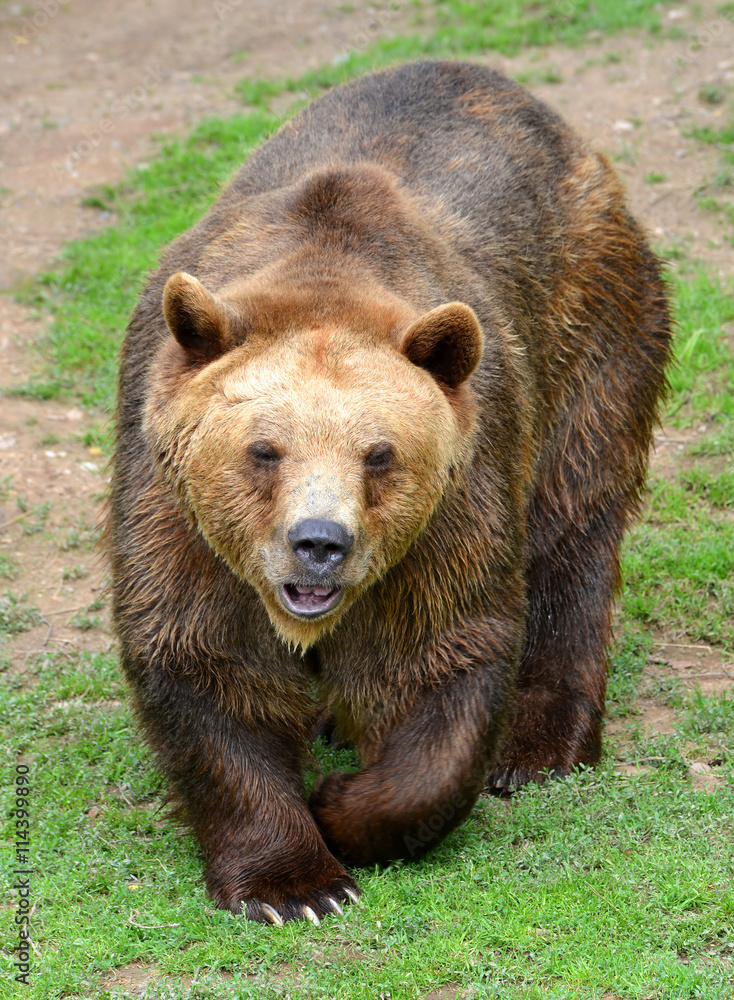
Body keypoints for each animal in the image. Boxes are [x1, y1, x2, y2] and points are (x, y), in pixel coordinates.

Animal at [108, 60, 671, 925]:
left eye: (379, 454)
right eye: (263, 450)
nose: (319, 542)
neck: (324, 278)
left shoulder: (456, 500)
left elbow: (446, 653)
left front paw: (342, 808)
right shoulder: (175, 513)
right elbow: (202, 657)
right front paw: (294, 884)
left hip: (589, 332)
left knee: (572, 526)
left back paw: (541, 744)